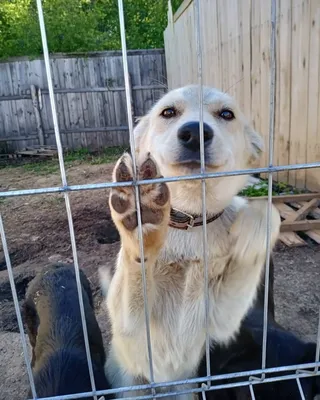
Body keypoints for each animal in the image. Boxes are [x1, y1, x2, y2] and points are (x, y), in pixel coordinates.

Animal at [100, 83, 280, 396]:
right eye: (168, 112)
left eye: (226, 114)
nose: (195, 133)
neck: (191, 225)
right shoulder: (129, 323)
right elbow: (135, 264)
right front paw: (141, 219)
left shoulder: (222, 319)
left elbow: (270, 211)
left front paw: (255, 227)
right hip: (131, 388)